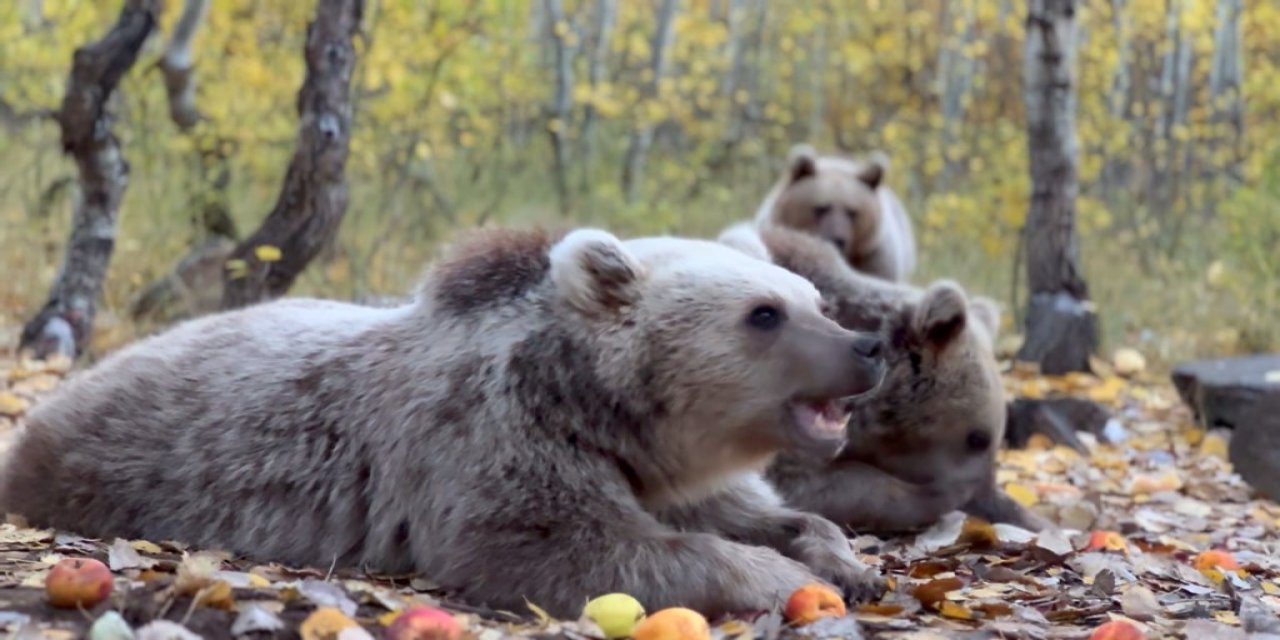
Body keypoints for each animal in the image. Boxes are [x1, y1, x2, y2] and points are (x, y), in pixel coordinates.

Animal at [2, 226, 890, 619]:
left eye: (815, 299)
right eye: (763, 314)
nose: (867, 349)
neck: (603, 412)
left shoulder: (666, 471)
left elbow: (760, 513)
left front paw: (845, 561)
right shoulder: (488, 437)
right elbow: (559, 545)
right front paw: (779, 578)